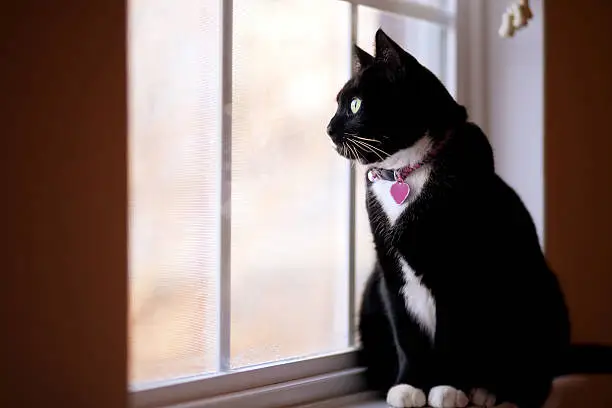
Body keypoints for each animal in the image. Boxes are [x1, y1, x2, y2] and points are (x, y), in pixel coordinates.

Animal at [328, 28, 608, 408]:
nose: (328, 128)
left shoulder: (458, 270)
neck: (406, 172)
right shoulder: (389, 267)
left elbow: (452, 334)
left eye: (355, 104)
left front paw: (447, 387)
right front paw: (409, 386)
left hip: (541, 293)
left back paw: (491, 391)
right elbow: (406, 332)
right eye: (338, 103)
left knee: (536, 374)